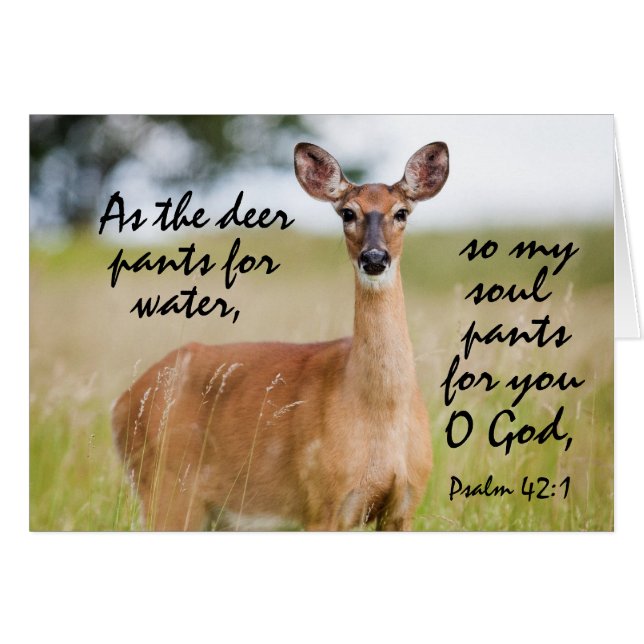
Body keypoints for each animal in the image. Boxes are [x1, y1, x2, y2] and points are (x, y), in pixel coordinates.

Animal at [112, 141, 449, 531]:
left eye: (401, 212)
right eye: (347, 213)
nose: (375, 258)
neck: (380, 413)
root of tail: (121, 404)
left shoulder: (405, 504)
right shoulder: (323, 502)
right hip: (167, 491)